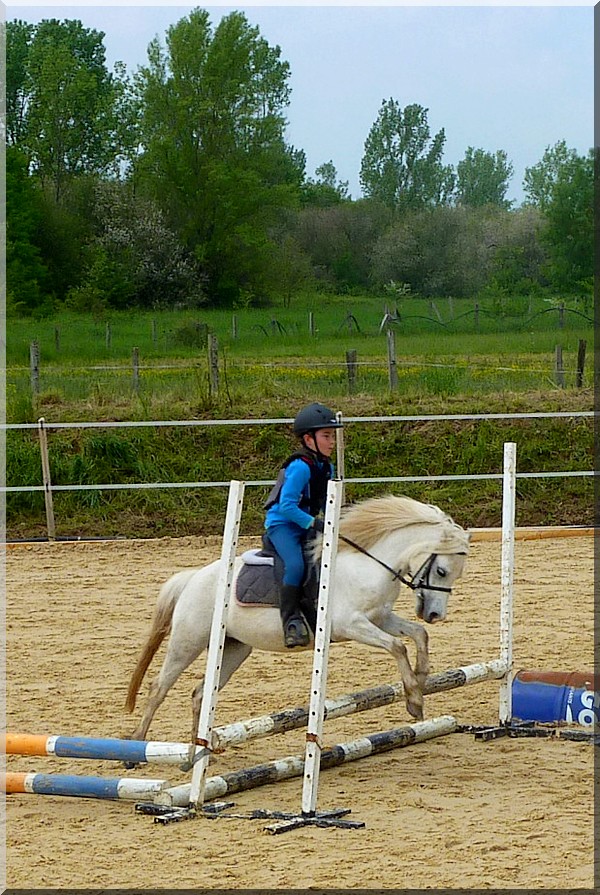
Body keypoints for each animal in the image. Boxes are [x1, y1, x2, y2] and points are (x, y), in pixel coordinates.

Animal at [126, 494, 472, 744]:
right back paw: (137, 747)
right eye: (442, 570)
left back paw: (194, 752)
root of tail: (192, 578)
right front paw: (413, 698)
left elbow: (418, 635)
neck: (367, 564)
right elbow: (397, 647)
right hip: (188, 642)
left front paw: (422, 679)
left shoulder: (380, 618)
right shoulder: (351, 625)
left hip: (234, 649)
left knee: (200, 694)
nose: (435, 614)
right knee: (158, 687)